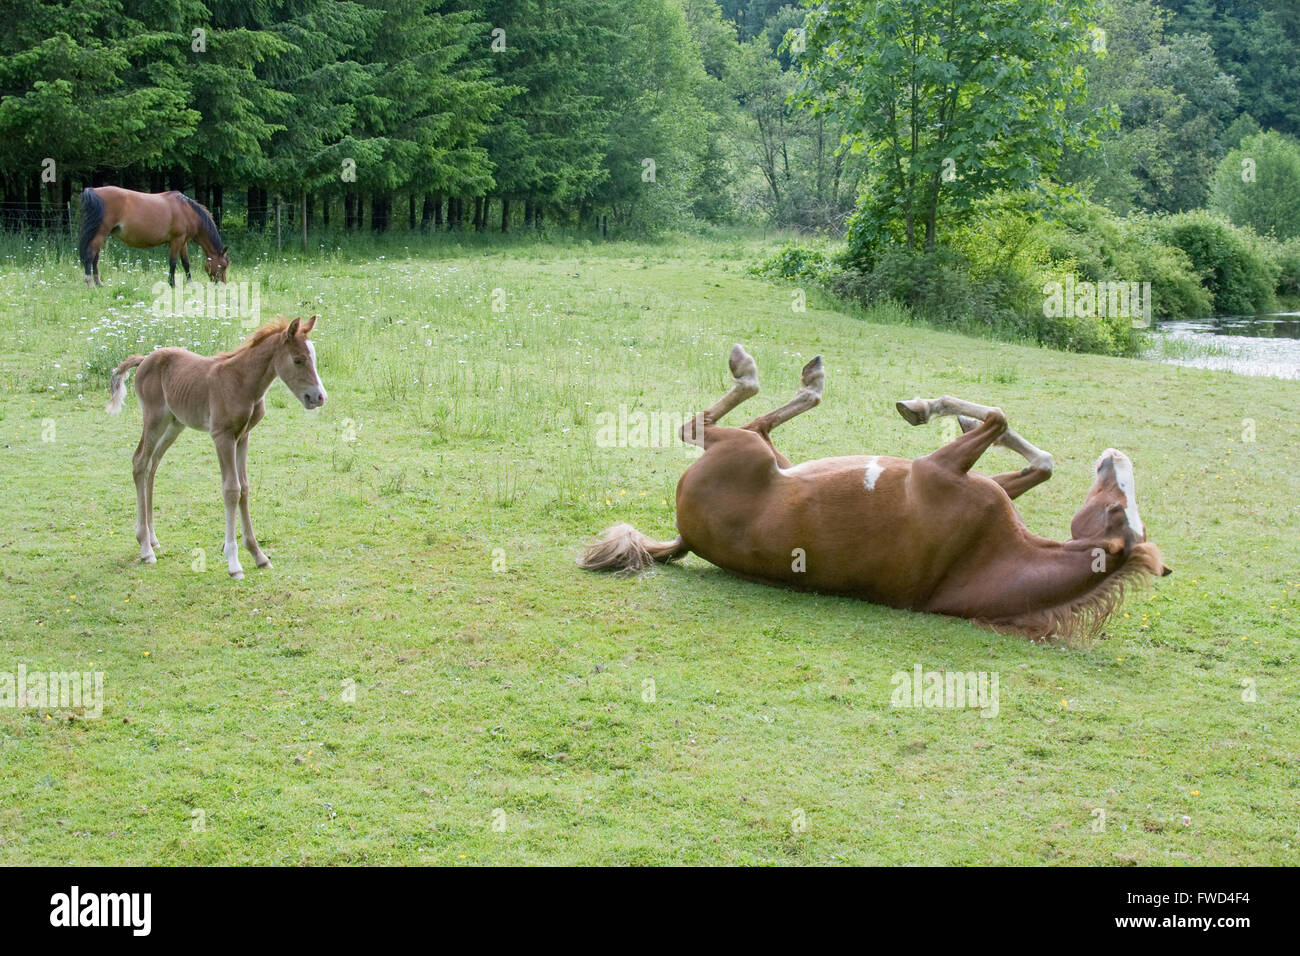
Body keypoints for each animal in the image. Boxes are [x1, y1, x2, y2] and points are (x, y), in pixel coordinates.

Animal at [78, 187, 227, 287]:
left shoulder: (183, 241)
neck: (187, 211)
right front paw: (172, 284)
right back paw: (90, 284)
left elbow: (186, 262)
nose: (223, 285)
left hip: (101, 235)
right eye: (223, 266)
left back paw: (99, 283)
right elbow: (173, 262)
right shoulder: (176, 240)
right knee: (90, 256)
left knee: (95, 258)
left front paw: (190, 283)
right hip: (100, 233)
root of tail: (94, 191)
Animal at [107, 317, 330, 580]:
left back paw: (153, 539)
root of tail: (144, 360)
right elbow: (231, 490)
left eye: (312, 357)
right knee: (140, 461)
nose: (319, 397)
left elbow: (245, 488)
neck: (242, 382)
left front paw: (258, 555)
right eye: (297, 359)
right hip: (154, 419)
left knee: (153, 464)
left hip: (175, 424)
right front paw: (233, 562)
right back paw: (145, 548)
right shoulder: (222, 436)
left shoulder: (243, 437)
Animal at [585, 345, 1175, 642]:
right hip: (766, 453)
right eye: (1118, 507)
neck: (980, 559)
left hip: (745, 450)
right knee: (743, 419)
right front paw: (950, 414)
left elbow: (1004, 423)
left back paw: (770, 369)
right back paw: (802, 374)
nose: (1115, 458)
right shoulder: (973, 480)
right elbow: (1036, 456)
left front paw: (923, 407)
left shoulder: (941, 471)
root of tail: (683, 535)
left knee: (707, 423)